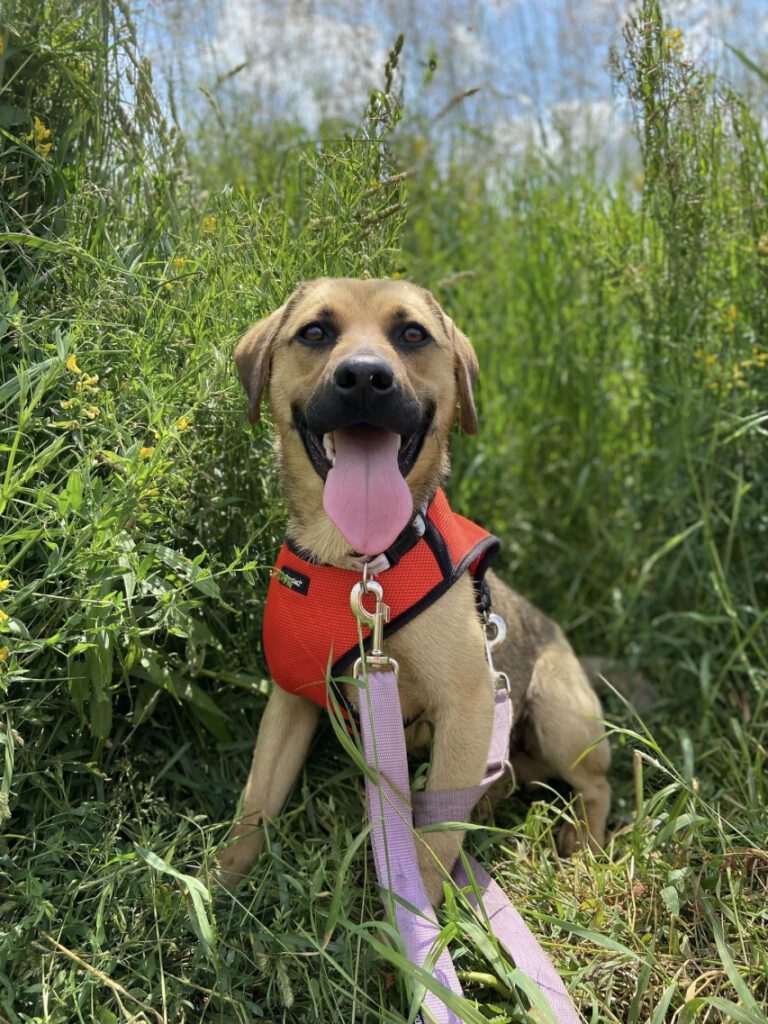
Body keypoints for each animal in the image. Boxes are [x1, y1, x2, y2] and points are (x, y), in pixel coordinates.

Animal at [218, 274, 614, 905]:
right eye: (315, 332)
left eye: (412, 334)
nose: (362, 378)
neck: (360, 566)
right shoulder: (290, 700)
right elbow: (255, 806)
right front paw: (215, 888)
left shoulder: (468, 706)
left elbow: (434, 840)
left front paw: (421, 920)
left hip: (560, 717)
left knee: (598, 786)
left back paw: (586, 846)